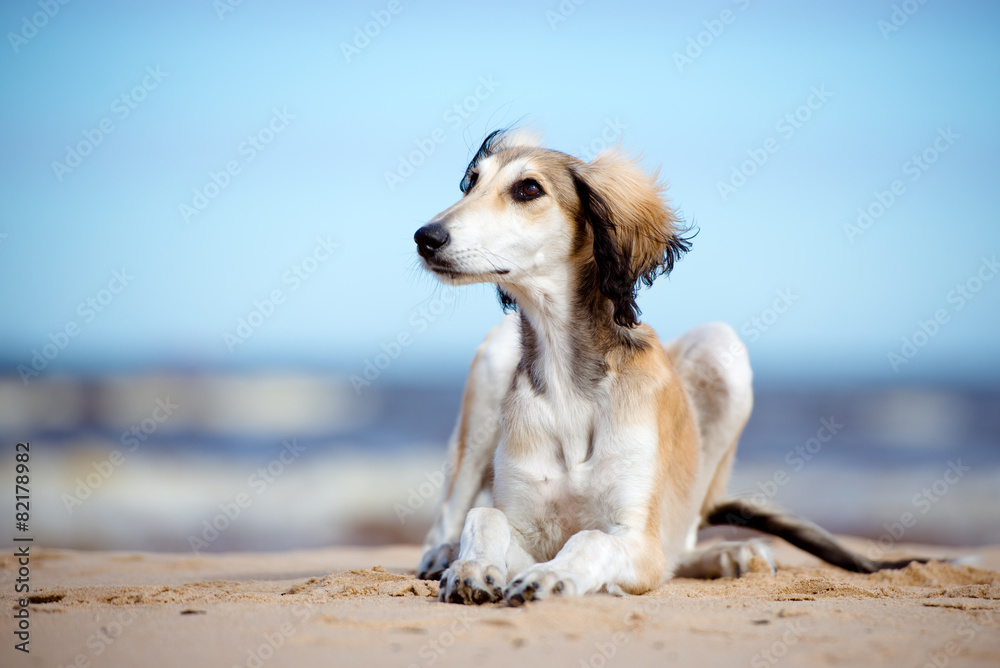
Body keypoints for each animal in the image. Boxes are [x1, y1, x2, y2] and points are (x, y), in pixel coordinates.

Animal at [412, 130, 920, 604]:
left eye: (528, 189)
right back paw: (444, 554)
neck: (568, 383)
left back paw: (729, 553)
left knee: (681, 541)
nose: (425, 237)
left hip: (723, 351)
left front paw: (551, 576)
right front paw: (474, 567)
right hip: (495, 358)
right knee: (451, 511)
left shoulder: (638, 539)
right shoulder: (526, 525)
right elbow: (486, 516)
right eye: (471, 183)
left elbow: (591, 539)